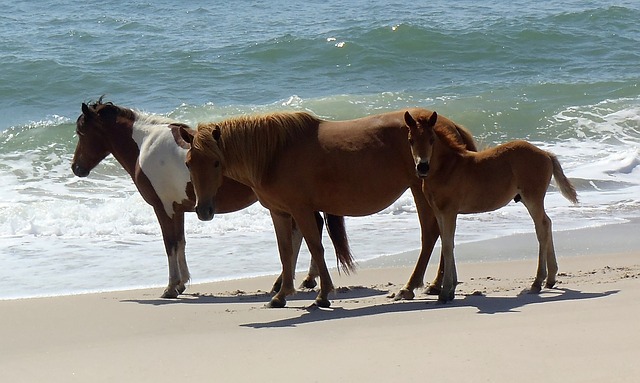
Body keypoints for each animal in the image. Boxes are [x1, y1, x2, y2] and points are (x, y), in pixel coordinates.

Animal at [70, 98, 350, 296]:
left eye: (81, 132)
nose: (76, 168)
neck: (146, 144)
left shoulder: (163, 208)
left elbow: (170, 243)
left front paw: (171, 287)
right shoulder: (179, 209)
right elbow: (181, 242)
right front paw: (182, 283)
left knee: (306, 230)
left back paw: (299, 280)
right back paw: (298, 280)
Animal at [178, 109, 478, 308]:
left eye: (216, 162)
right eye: (189, 163)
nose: (203, 210)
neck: (275, 154)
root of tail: (451, 124)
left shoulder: (300, 209)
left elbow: (315, 246)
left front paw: (322, 294)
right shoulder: (279, 212)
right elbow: (286, 251)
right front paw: (281, 295)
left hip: (420, 189)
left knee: (430, 234)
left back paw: (410, 287)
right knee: (441, 233)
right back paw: (436, 285)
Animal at [404, 109, 580, 304]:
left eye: (431, 139)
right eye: (411, 140)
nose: (422, 167)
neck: (447, 168)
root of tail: (545, 153)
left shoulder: (449, 211)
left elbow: (448, 246)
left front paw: (445, 292)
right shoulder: (439, 212)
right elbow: (447, 242)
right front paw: (451, 289)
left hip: (533, 197)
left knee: (541, 227)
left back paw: (537, 282)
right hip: (527, 199)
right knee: (547, 223)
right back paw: (550, 278)